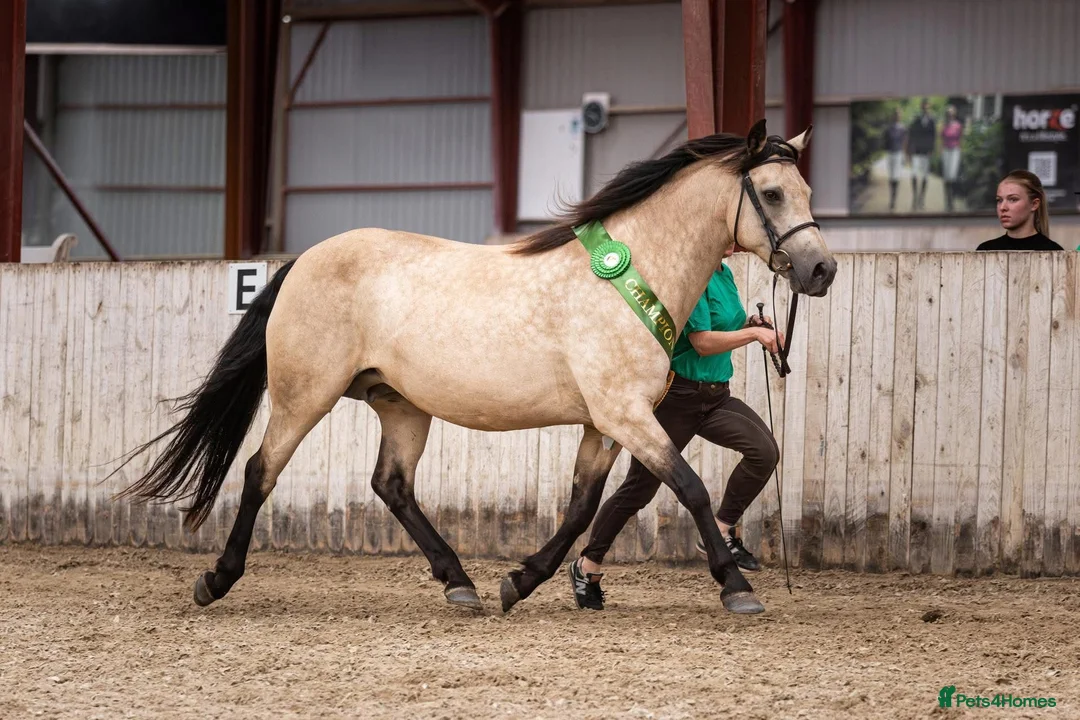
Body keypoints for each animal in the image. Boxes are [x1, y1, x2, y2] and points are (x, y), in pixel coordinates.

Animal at [111, 118, 837, 616]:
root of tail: (304, 260)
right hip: (304, 394)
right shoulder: (626, 416)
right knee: (262, 470)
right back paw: (216, 579)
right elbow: (689, 488)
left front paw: (519, 581)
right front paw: (736, 586)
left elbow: (583, 505)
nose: (821, 270)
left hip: (401, 404)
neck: (630, 273)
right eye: (772, 193)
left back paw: (460, 584)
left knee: (392, 485)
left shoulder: (605, 423)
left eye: (805, 188)